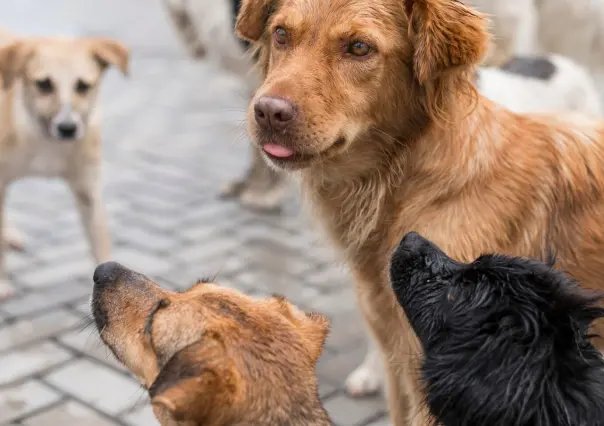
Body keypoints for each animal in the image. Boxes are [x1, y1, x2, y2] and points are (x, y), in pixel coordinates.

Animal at [0, 33, 129, 300]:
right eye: (44, 84)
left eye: (83, 86)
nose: (68, 128)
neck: (45, 139)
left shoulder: (88, 190)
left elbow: (100, 243)